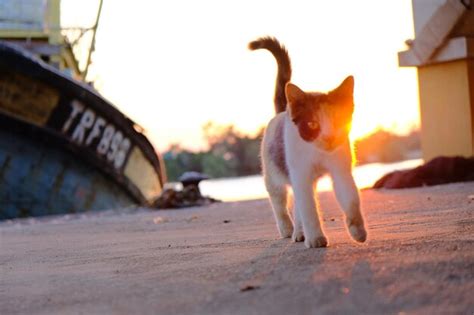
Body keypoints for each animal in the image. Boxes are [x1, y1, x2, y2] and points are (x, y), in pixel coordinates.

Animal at [250, 36, 368, 249]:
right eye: (312, 123)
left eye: (338, 121)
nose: (329, 137)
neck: (317, 152)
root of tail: (284, 110)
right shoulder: (300, 172)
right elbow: (308, 208)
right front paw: (315, 238)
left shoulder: (340, 169)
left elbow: (350, 199)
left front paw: (358, 231)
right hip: (273, 172)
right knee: (279, 201)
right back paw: (288, 229)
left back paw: (299, 232)